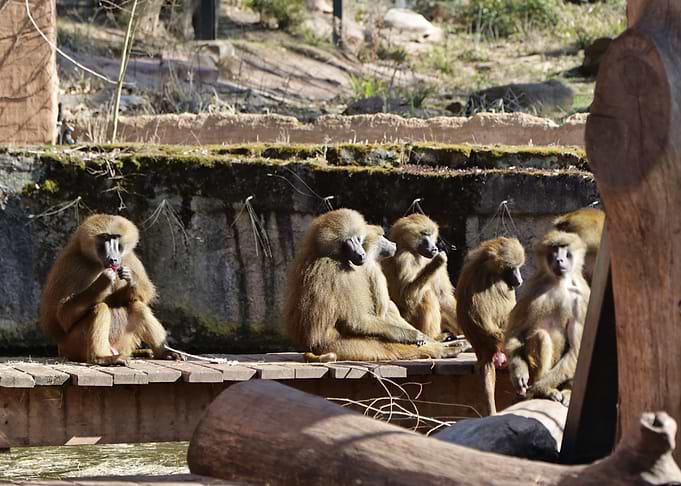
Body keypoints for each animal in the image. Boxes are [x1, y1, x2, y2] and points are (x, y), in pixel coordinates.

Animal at [40, 214, 180, 365]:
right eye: (105, 238)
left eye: (116, 238)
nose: (113, 259)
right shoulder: (72, 265)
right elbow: (63, 316)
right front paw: (104, 281)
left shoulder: (130, 259)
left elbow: (143, 295)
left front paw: (132, 279)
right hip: (73, 346)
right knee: (100, 308)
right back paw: (102, 358)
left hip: (123, 343)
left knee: (137, 306)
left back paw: (166, 353)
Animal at [284, 209, 465, 362]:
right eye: (424, 236)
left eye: (358, 239)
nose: (361, 253)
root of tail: (314, 348)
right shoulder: (367, 271)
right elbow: (359, 319)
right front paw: (413, 336)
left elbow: (443, 296)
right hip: (350, 347)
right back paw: (443, 347)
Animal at [504, 230, 590, 405]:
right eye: (555, 249)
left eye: (565, 248)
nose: (559, 260)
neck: (559, 282)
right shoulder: (532, 288)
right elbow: (515, 333)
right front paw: (519, 373)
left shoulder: (582, 299)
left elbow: (577, 349)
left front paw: (539, 388)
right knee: (541, 336)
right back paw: (544, 392)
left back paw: (559, 391)